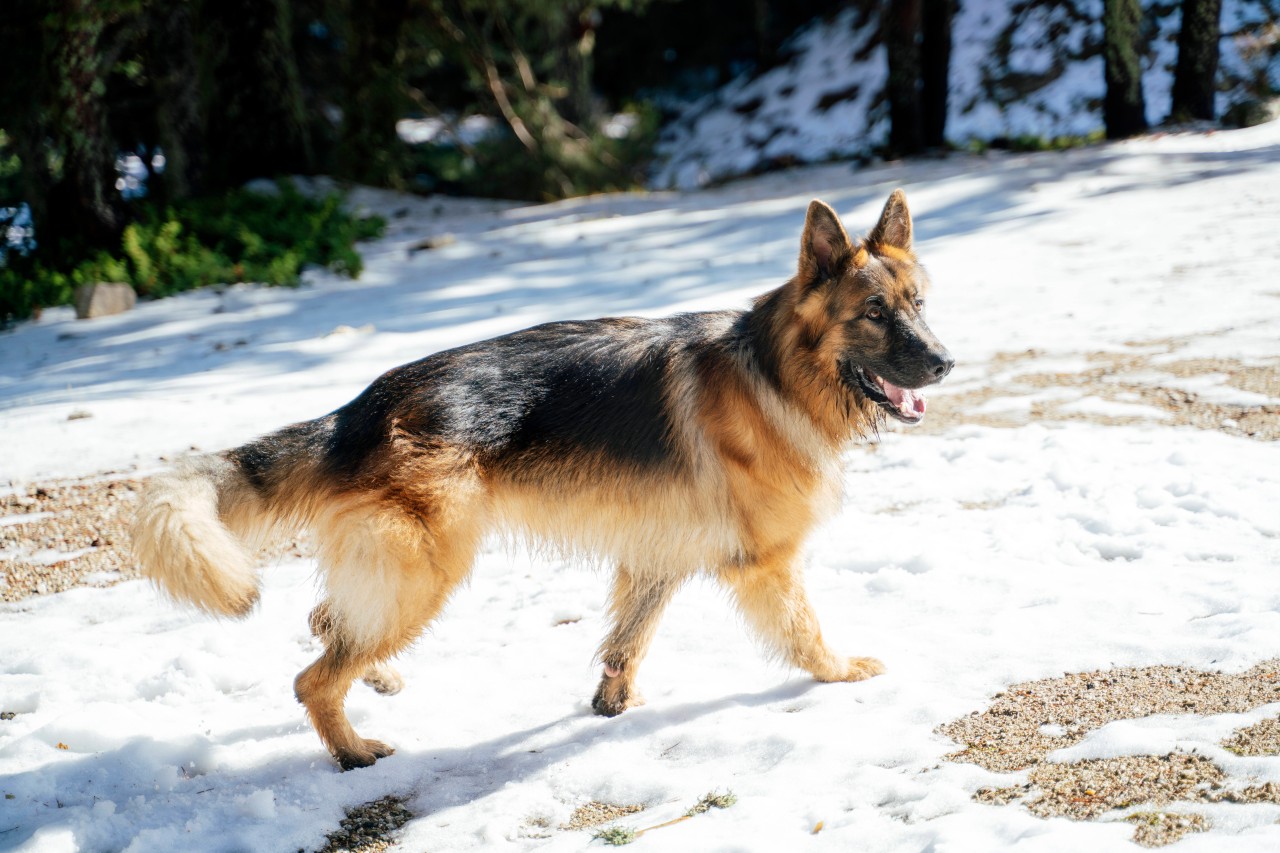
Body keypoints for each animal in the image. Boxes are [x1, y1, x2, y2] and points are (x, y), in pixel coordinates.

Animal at [132, 189, 952, 768]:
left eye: (918, 304)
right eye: (874, 313)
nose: (945, 363)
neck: (779, 370)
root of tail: (357, 411)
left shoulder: (657, 554)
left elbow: (628, 639)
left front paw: (612, 705)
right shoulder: (770, 565)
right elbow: (805, 631)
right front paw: (841, 673)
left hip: (399, 574)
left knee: (329, 622)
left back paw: (379, 682)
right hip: (426, 573)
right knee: (314, 675)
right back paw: (353, 750)